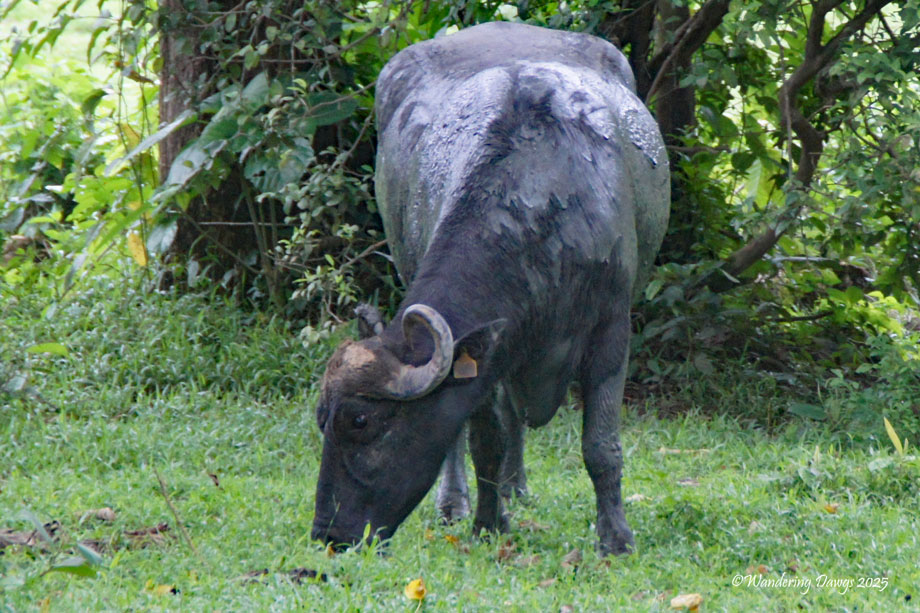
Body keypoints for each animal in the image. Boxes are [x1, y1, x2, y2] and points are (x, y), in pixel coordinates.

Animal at [311, 21, 669, 555]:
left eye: (360, 421)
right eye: (322, 419)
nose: (330, 534)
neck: (542, 204)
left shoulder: (611, 331)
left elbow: (601, 446)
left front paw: (616, 538)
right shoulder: (492, 350)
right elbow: (484, 439)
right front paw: (486, 523)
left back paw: (517, 486)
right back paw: (456, 501)